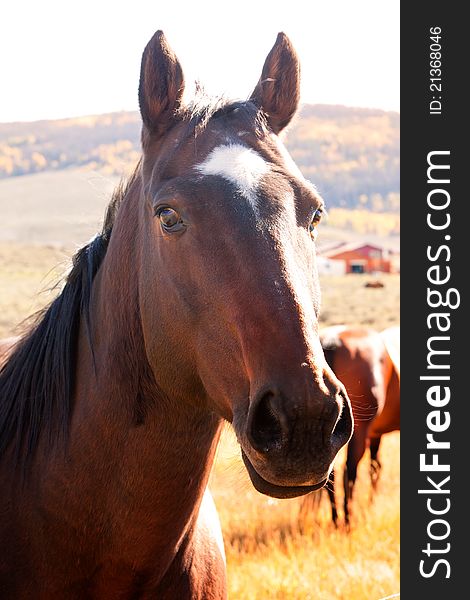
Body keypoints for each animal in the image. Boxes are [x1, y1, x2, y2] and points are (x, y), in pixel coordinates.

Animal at [302, 326, 398, 528]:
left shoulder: (376, 434)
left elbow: (375, 467)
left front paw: (371, 504)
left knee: (332, 475)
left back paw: (336, 519)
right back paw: (348, 519)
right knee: (349, 471)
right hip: (359, 433)